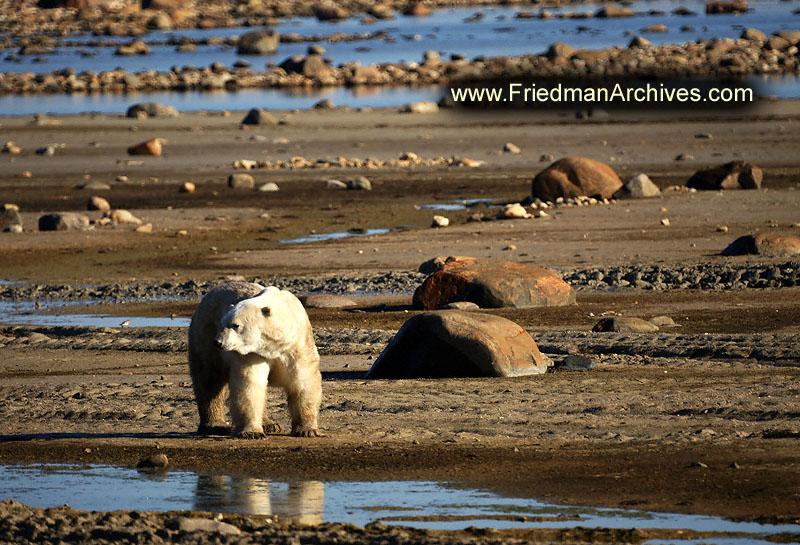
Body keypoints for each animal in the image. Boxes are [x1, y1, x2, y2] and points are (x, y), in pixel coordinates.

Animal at [188, 282, 322, 436]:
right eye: (222, 323)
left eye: (236, 325)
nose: (218, 342)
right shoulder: (252, 352)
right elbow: (250, 384)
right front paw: (252, 432)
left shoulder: (297, 345)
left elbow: (303, 381)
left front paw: (308, 430)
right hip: (204, 335)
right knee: (209, 379)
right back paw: (216, 425)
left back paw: (271, 425)